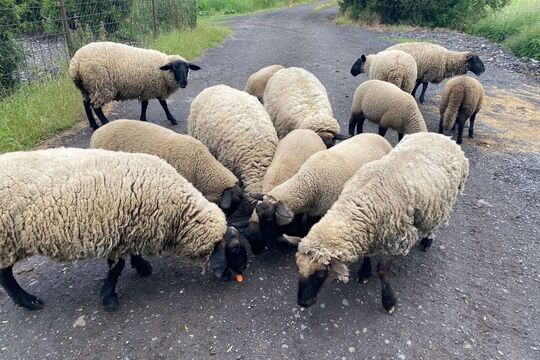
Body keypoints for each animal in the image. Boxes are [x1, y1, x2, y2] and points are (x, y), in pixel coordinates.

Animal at [0, 149, 248, 312]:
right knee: (5, 276)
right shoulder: (118, 233)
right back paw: (28, 301)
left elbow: (131, 256)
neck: (177, 213)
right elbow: (116, 267)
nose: (244, 268)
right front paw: (109, 297)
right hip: (8, 238)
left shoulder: (132, 229)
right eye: (235, 249)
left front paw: (142, 266)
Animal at [68, 41, 201, 130]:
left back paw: (94, 125)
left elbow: (150, 104)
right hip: (100, 86)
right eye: (174, 68)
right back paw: (105, 123)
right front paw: (171, 119)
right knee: (96, 108)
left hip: (86, 88)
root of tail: (75, 63)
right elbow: (160, 104)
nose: (184, 83)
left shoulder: (149, 88)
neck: (163, 72)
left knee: (86, 104)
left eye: (187, 68)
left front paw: (143, 119)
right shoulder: (151, 88)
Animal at [249, 132, 392, 253]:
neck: (307, 182)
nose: (264, 241)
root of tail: (379, 136)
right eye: (257, 213)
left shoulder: (320, 210)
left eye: (268, 219)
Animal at [282, 131, 468, 312]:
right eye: (298, 267)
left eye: (320, 274)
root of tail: (440, 136)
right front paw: (365, 272)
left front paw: (389, 301)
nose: (302, 303)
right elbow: (367, 256)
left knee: (436, 225)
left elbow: (383, 272)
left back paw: (427, 241)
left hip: (445, 203)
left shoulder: (396, 239)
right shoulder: (370, 232)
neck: (363, 201)